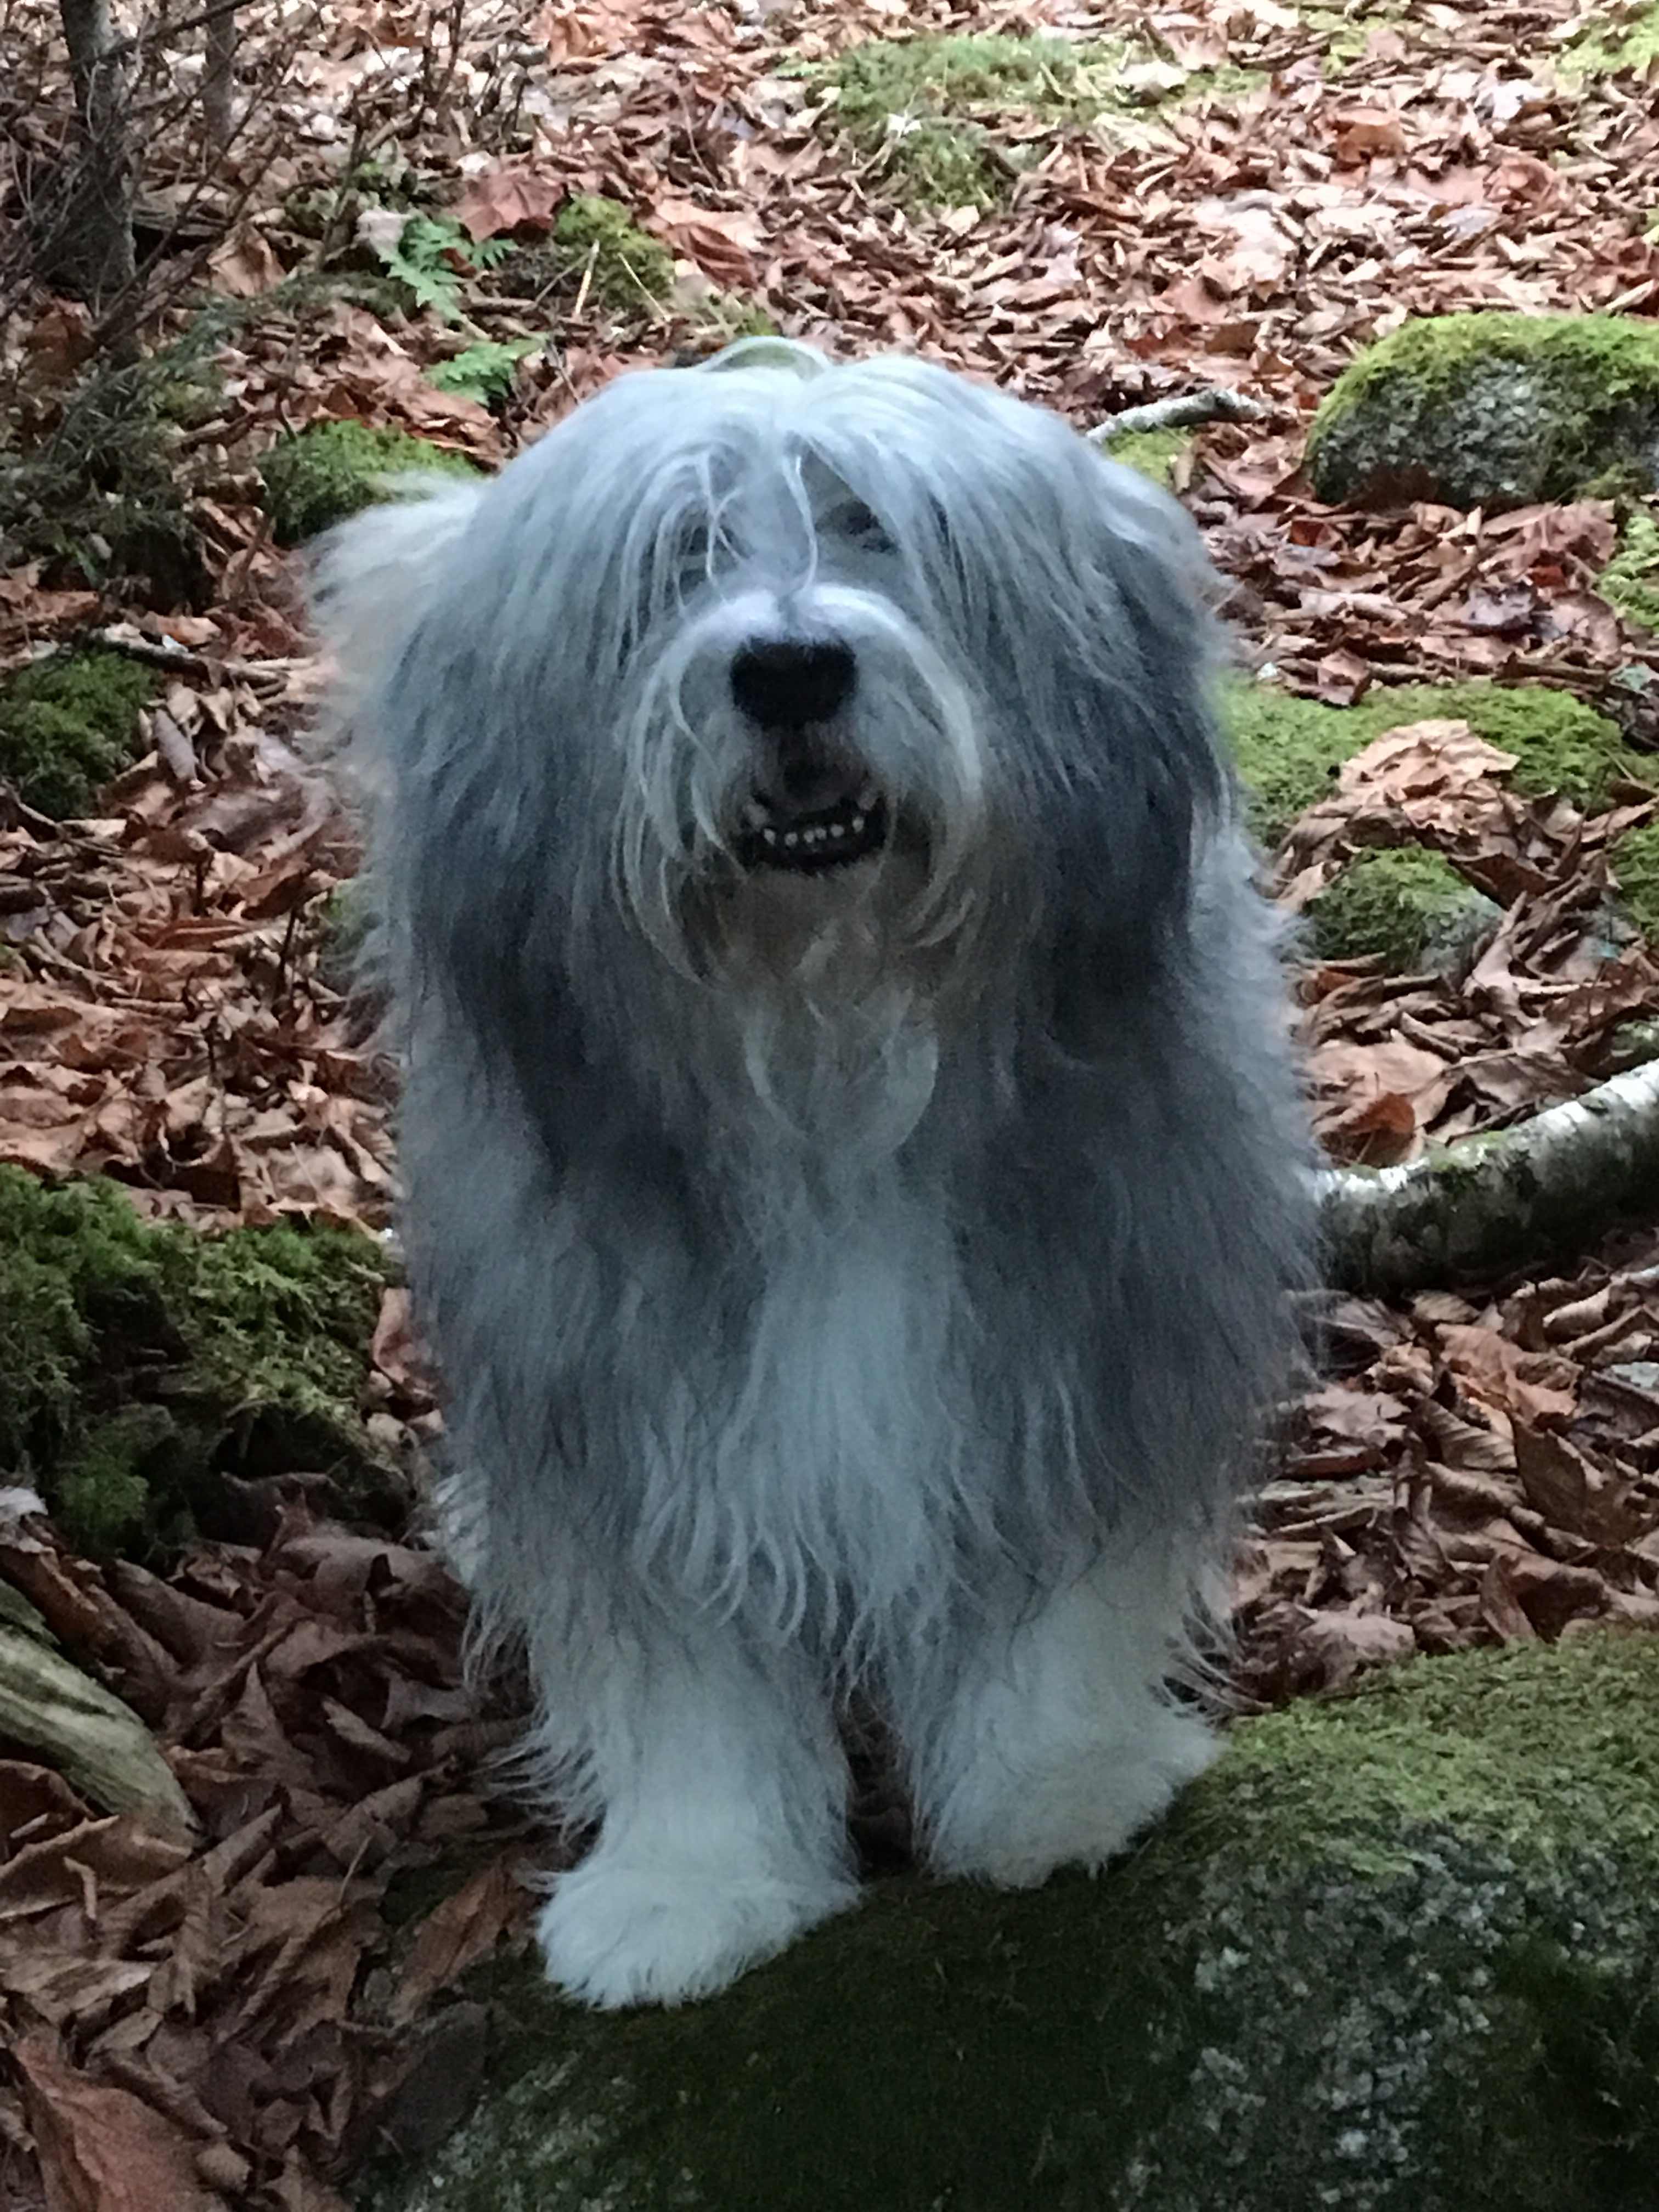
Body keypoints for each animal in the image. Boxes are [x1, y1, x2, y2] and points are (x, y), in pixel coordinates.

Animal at [312, 338, 1314, 2010]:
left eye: (874, 529)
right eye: (677, 556)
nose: (790, 670)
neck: (826, 1068)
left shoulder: (1078, 1330)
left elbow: (1051, 1593)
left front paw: (1060, 1790)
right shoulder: (630, 1405)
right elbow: (686, 1671)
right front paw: (690, 1890)